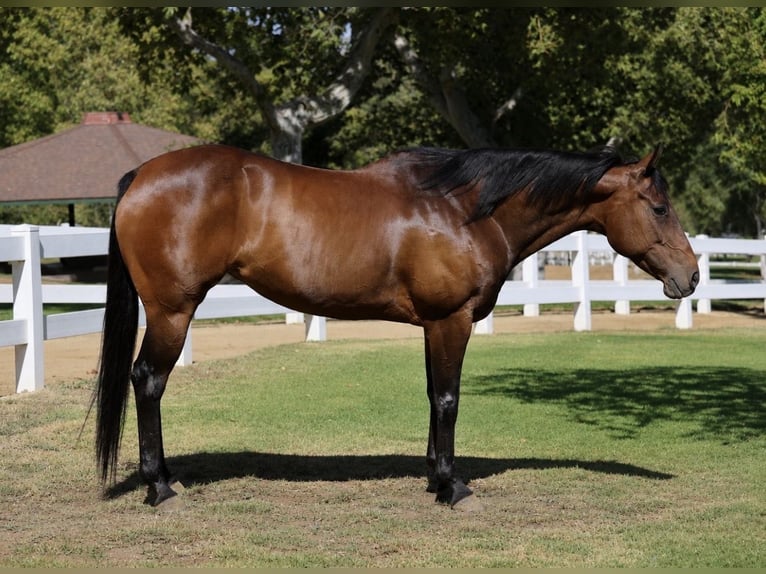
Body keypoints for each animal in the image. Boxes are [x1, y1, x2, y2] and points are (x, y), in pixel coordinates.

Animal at [93, 143, 699, 508]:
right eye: (660, 208)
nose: (690, 277)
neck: (465, 211)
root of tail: (141, 175)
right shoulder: (452, 321)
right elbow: (449, 399)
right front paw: (454, 489)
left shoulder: (435, 325)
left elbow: (434, 396)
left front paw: (436, 476)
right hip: (173, 312)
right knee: (148, 380)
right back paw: (160, 487)